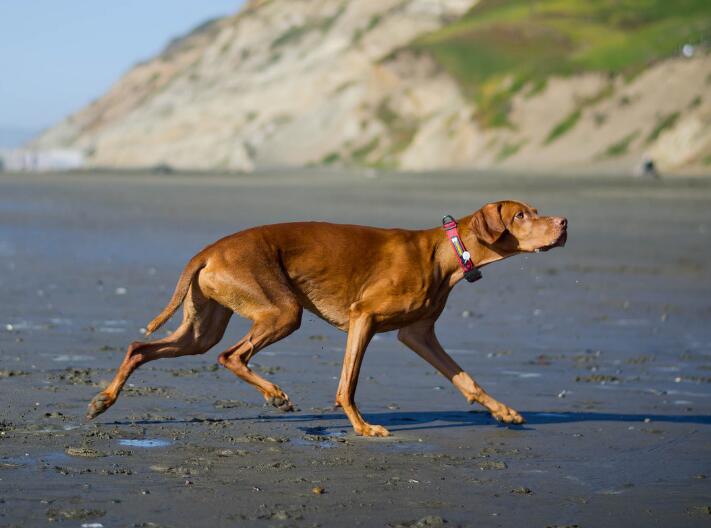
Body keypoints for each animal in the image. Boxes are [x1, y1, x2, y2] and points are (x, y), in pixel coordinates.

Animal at [87, 200, 567, 436]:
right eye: (520, 214)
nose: (564, 223)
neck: (447, 251)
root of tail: (208, 250)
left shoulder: (418, 335)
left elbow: (467, 380)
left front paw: (504, 412)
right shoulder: (364, 318)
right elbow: (347, 384)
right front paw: (362, 427)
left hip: (202, 329)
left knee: (139, 347)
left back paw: (103, 400)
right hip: (283, 311)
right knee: (231, 356)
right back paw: (275, 395)